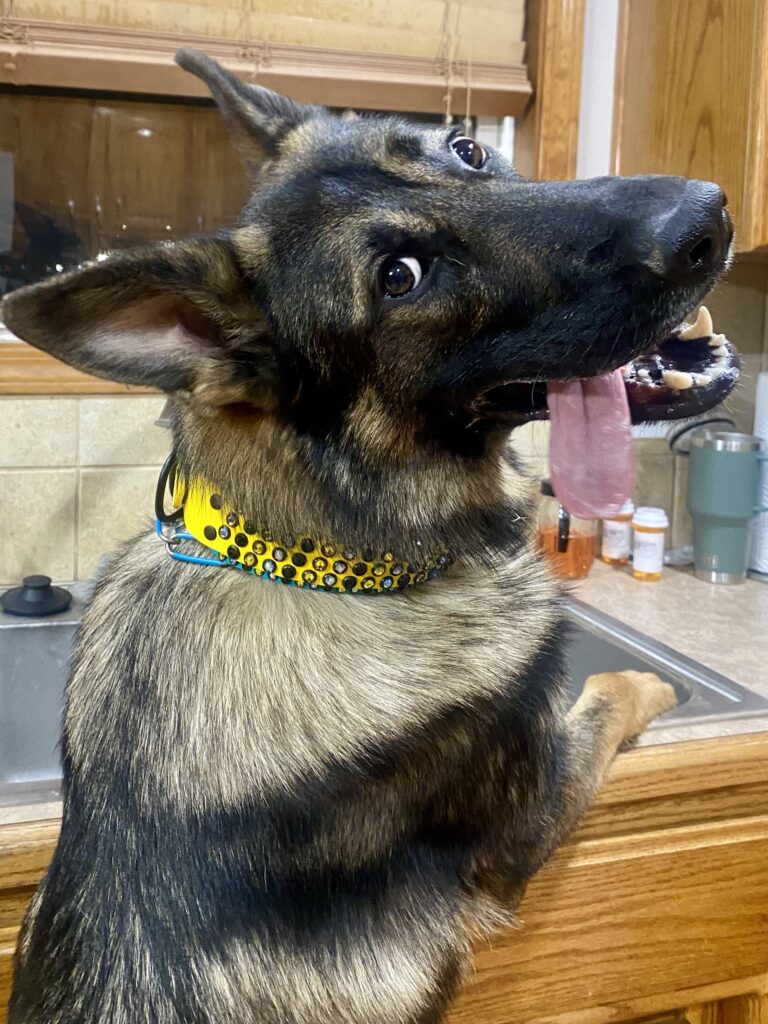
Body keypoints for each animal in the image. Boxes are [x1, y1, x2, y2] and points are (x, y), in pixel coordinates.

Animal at [3, 50, 737, 1024]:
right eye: (402, 276)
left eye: (468, 150)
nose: (704, 218)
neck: (325, 562)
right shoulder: (534, 810)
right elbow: (607, 696)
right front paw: (650, 680)